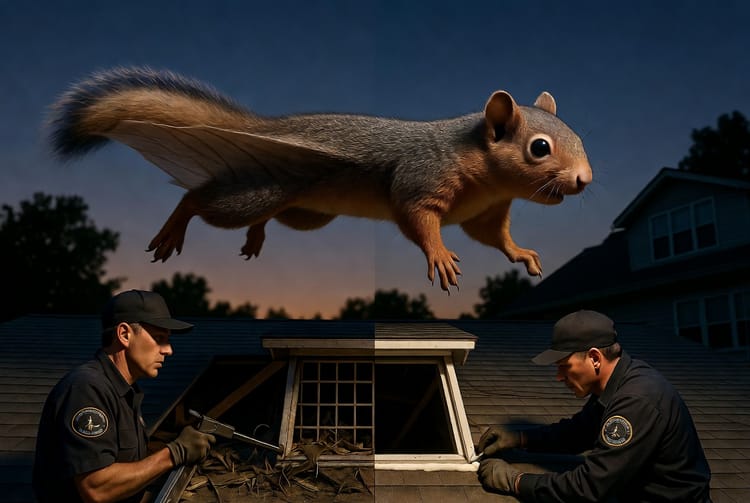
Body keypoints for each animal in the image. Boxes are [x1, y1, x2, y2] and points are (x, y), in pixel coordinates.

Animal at [49, 67, 592, 291]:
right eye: (539, 148)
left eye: (578, 135)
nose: (585, 180)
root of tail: (268, 133)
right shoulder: (422, 178)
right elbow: (416, 217)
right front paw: (439, 255)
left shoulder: (486, 213)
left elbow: (494, 237)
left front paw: (522, 254)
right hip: (260, 190)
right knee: (199, 199)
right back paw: (172, 231)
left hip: (303, 211)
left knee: (265, 216)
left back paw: (256, 237)